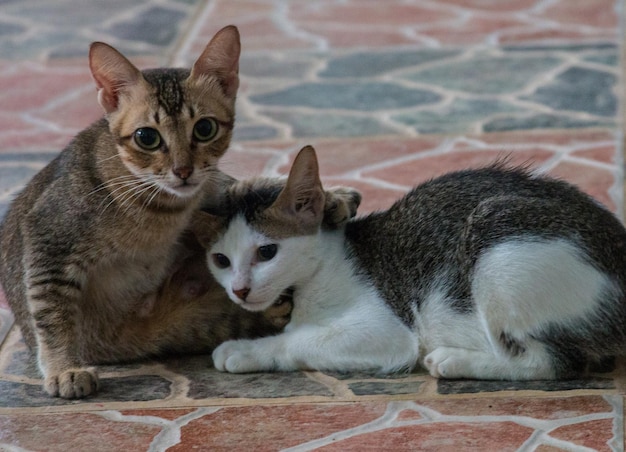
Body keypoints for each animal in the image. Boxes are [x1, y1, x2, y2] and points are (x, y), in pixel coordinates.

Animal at [0, 25, 251, 400]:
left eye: (205, 128)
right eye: (147, 137)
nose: (183, 171)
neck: (159, 213)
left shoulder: (212, 187)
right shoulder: (48, 236)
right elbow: (52, 312)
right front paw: (63, 368)